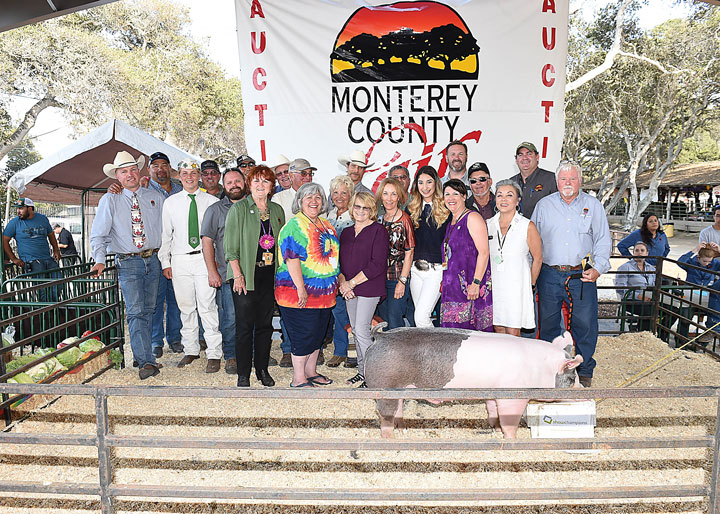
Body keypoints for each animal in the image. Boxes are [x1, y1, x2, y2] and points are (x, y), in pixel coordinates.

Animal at [362, 326, 584, 438]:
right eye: (571, 378)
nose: (583, 391)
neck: (541, 368)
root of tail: (379, 336)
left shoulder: (494, 391)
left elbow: (493, 411)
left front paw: (495, 429)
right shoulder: (514, 395)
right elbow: (509, 420)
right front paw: (511, 440)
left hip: (401, 389)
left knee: (398, 408)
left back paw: (404, 430)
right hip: (385, 386)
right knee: (385, 414)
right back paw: (390, 439)